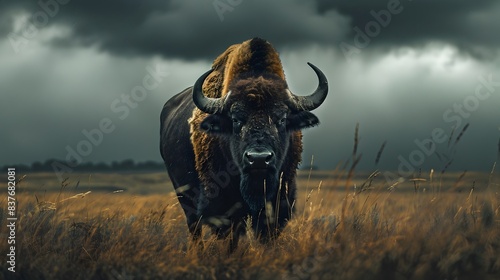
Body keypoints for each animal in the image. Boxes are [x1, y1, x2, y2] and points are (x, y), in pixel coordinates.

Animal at [160, 37, 328, 252]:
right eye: (235, 119)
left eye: (282, 119)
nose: (259, 159)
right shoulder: (223, 210)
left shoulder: (278, 207)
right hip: (185, 200)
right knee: (195, 229)